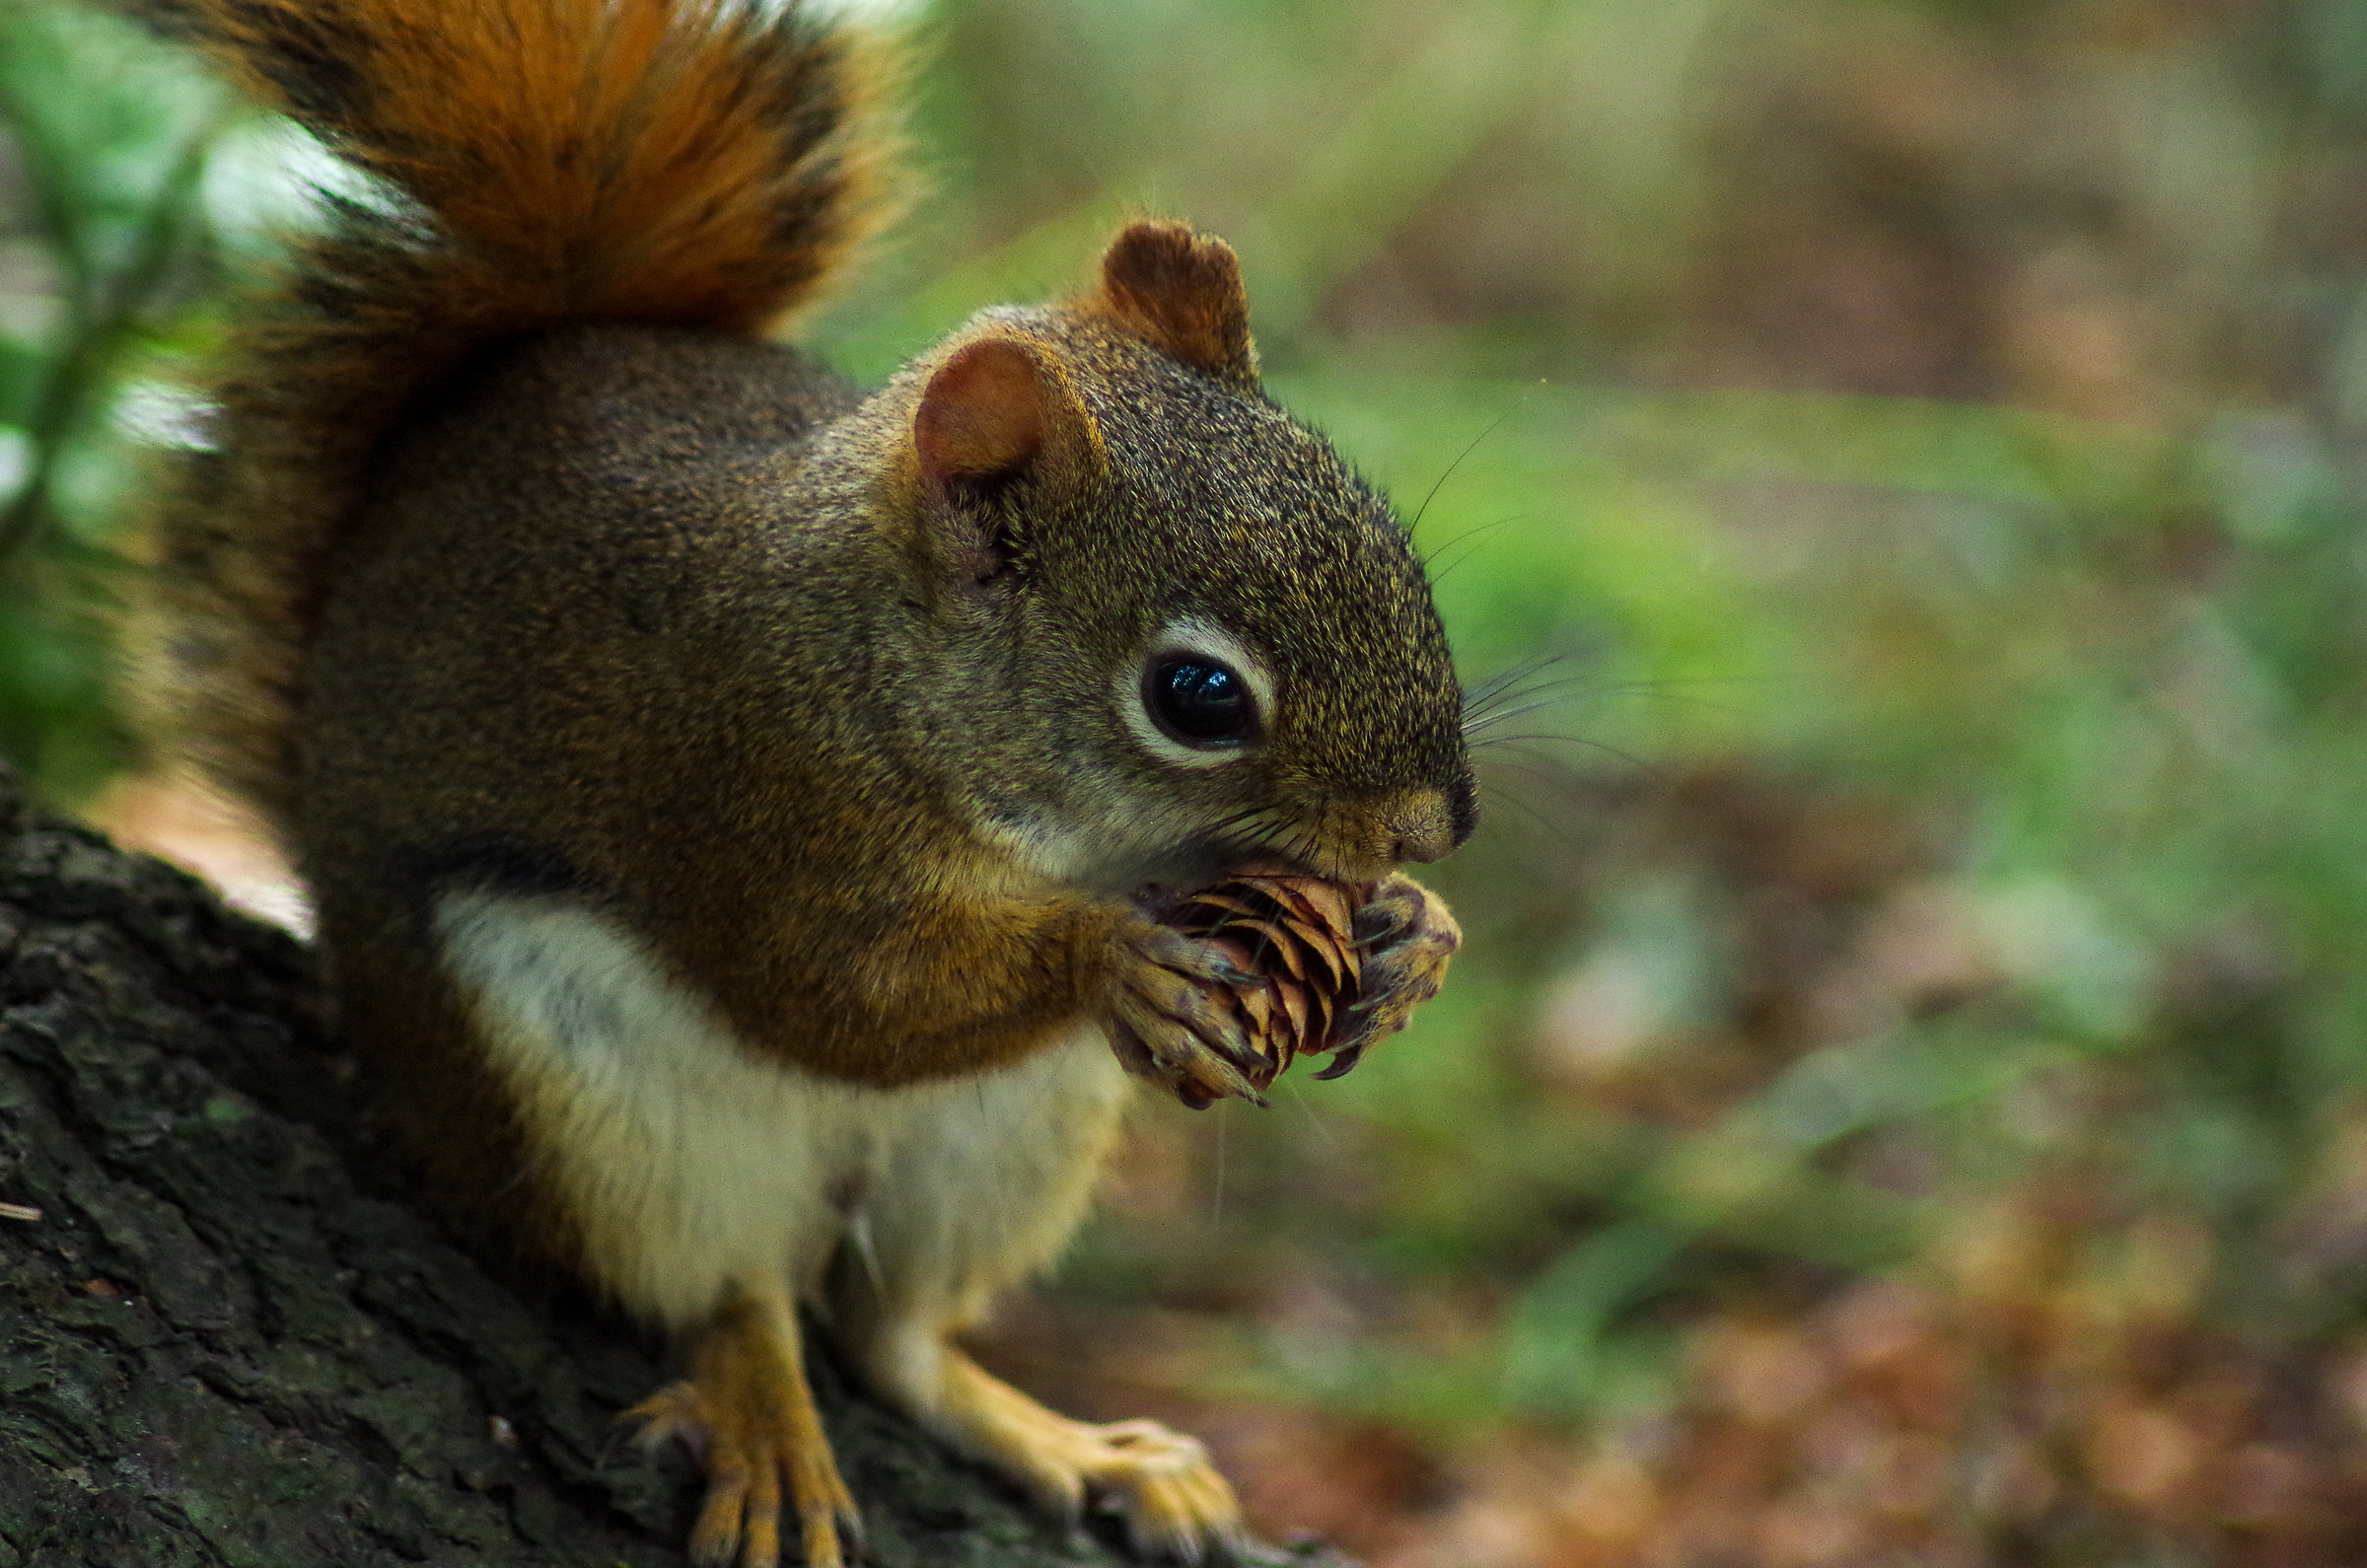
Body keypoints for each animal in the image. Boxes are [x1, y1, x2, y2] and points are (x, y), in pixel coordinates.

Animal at [119, 0, 1474, 1563]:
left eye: (1394, 548)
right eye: (1198, 697)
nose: (1438, 827)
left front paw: (1415, 939)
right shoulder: (750, 778)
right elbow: (832, 988)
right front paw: (1112, 957)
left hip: (1010, 1132)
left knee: (894, 1337)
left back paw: (1069, 1438)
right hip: (583, 1092)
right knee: (730, 1287)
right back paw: (766, 1414)